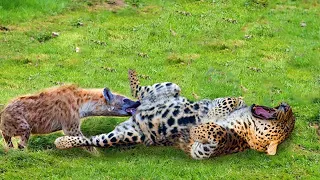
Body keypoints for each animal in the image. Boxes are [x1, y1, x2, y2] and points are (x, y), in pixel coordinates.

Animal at [0, 84, 140, 149]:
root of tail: (3, 111)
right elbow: (82, 140)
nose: (138, 102)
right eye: (125, 99)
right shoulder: (70, 123)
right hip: (19, 122)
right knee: (22, 138)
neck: (82, 103)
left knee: (8, 139)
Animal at [54, 70, 245, 150]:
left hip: (127, 135)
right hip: (171, 86)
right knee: (139, 90)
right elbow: (229, 100)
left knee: (92, 140)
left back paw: (61, 142)